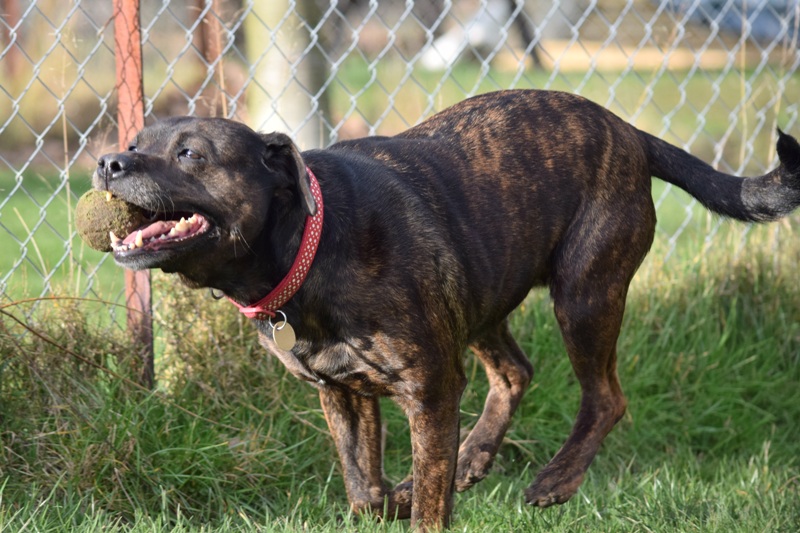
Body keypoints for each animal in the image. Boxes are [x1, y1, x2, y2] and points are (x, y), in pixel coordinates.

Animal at [92, 89, 800, 524]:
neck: (309, 241)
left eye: (190, 153)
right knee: (514, 372)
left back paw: (555, 480)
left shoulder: (427, 389)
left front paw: (422, 497)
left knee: (605, 397)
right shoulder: (344, 396)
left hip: (585, 293)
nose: (108, 161)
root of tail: (629, 131)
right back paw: (473, 458)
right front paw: (400, 495)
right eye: (137, 139)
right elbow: (366, 490)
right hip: (479, 298)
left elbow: (426, 510)